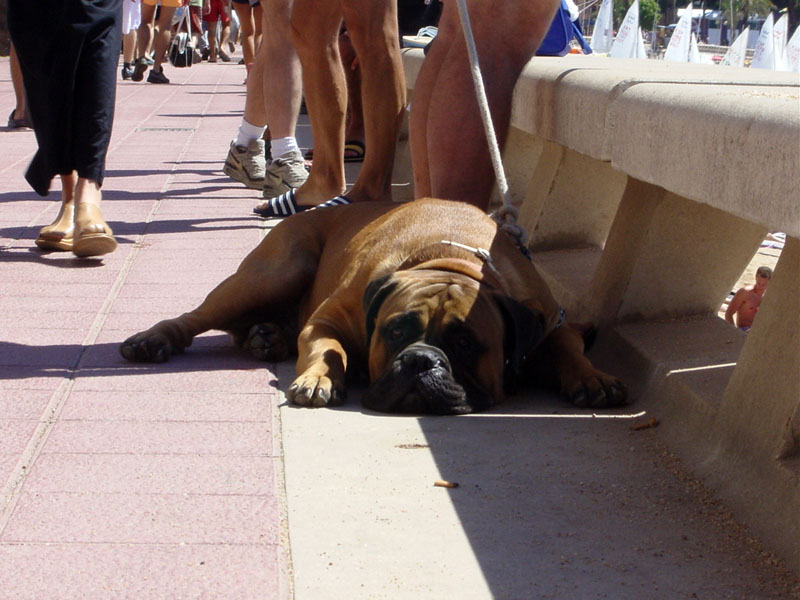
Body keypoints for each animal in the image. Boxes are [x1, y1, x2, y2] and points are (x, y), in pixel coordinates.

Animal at [122, 200, 628, 412]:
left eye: (466, 342)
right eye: (396, 331)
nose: (421, 361)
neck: (449, 257)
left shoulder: (549, 321)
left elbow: (568, 347)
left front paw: (593, 378)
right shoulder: (327, 320)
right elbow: (328, 350)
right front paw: (319, 380)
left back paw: (267, 336)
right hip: (273, 271)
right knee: (196, 318)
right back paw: (154, 340)